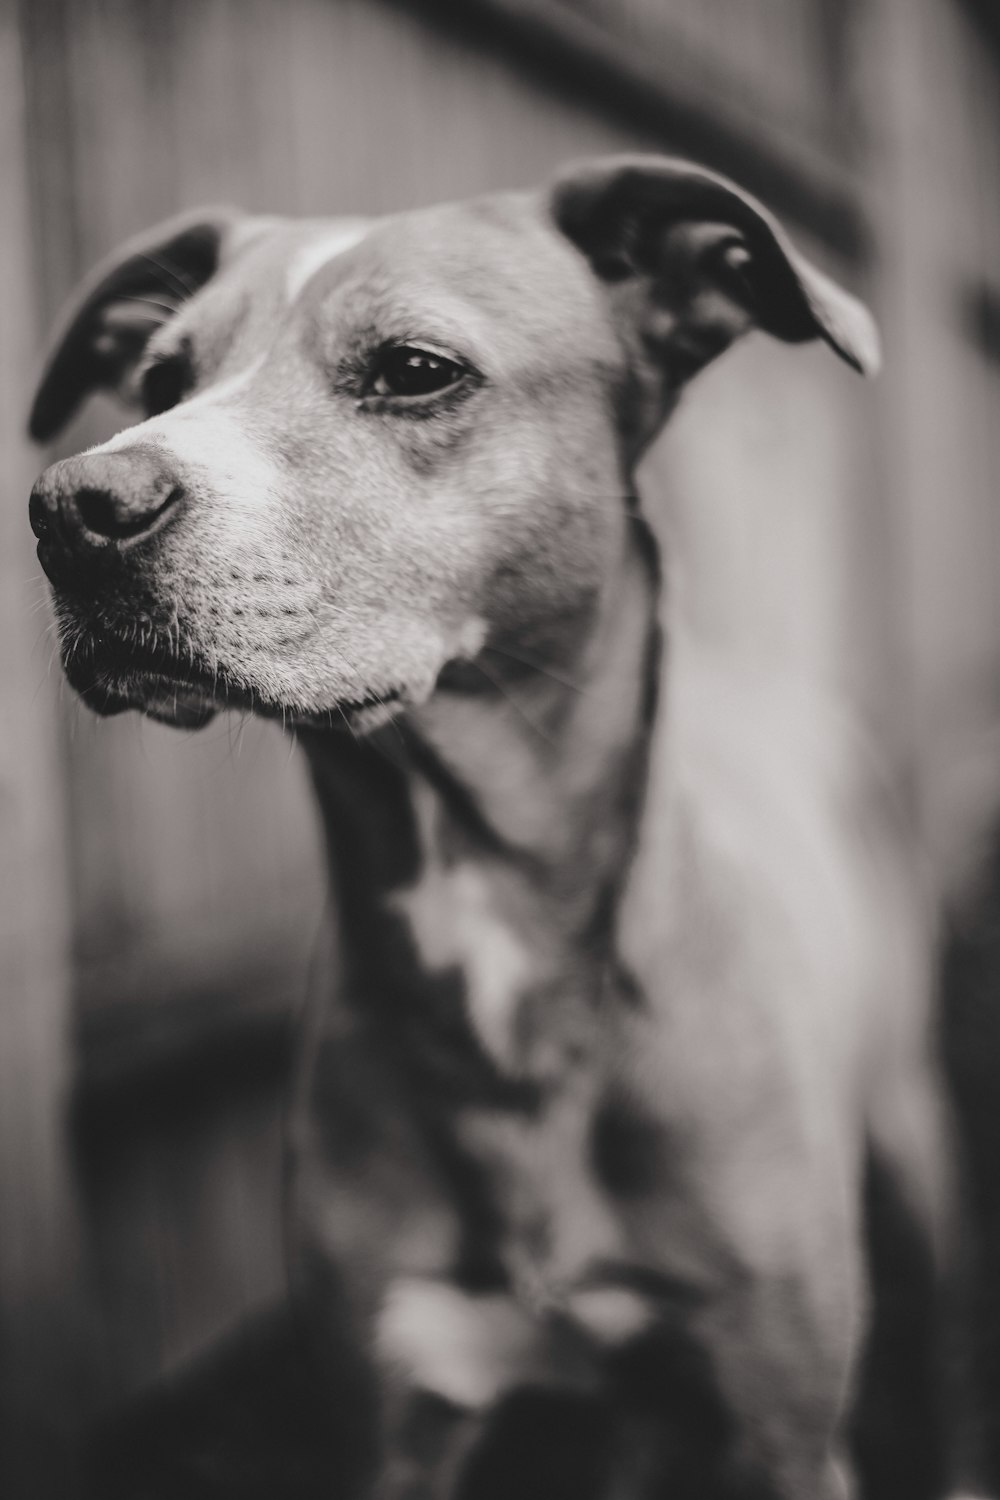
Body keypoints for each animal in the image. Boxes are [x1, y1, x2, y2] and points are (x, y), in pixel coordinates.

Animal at [27, 155, 959, 1500]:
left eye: (415, 368)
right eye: (159, 382)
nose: (72, 506)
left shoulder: (780, 1436)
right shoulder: (392, 1413)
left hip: (913, 1133)